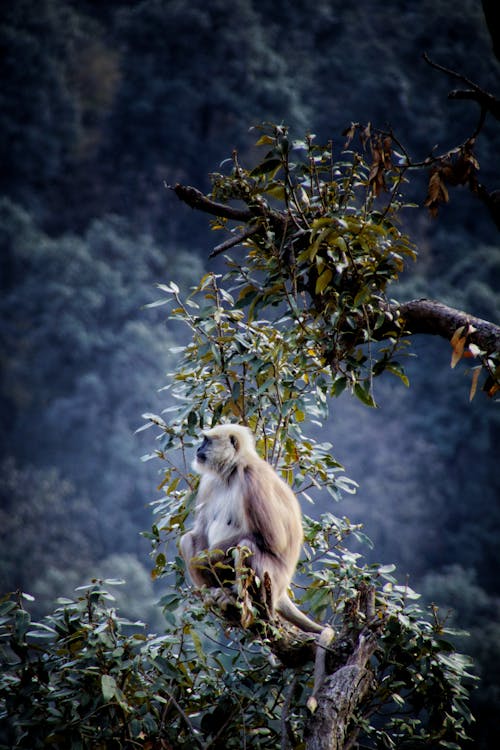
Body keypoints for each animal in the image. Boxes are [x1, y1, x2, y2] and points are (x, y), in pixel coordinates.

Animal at [180, 424, 324, 636]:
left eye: (206, 441)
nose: (198, 449)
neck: (231, 474)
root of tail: (282, 591)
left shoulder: (253, 478)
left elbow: (274, 539)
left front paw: (207, 558)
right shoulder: (208, 483)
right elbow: (199, 533)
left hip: (274, 579)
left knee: (247, 545)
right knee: (187, 539)